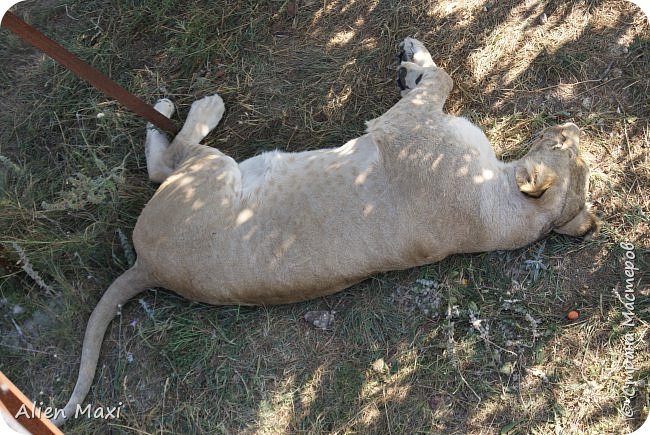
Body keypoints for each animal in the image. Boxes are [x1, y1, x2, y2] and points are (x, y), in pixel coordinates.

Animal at [52, 37, 596, 426]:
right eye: (569, 145)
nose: (571, 125)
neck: (500, 206)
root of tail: (149, 268)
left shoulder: (397, 127)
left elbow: (442, 76)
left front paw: (412, 61)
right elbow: (440, 77)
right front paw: (409, 67)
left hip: (210, 175)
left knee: (166, 164)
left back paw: (190, 108)